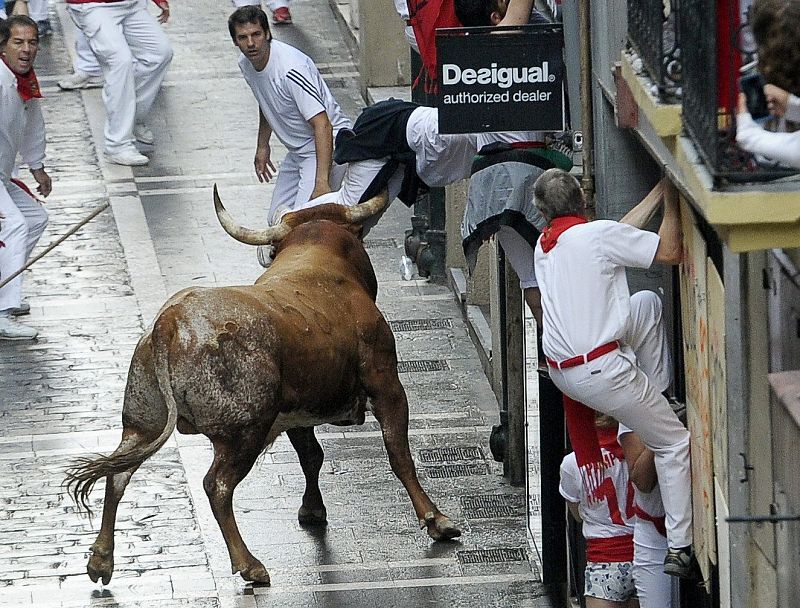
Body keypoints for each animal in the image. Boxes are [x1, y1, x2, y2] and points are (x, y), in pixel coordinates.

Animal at [65, 188, 460, 588]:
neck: (320, 257)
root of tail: (170, 321)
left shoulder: (297, 412)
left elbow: (312, 455)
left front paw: (312, 509)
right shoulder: (387, 385)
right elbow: (399, 455)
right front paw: (436, 520)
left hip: (142, 423)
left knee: (117, 474)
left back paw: (101, 559)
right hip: (245, 431)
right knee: (217, 485)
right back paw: (248, 563)